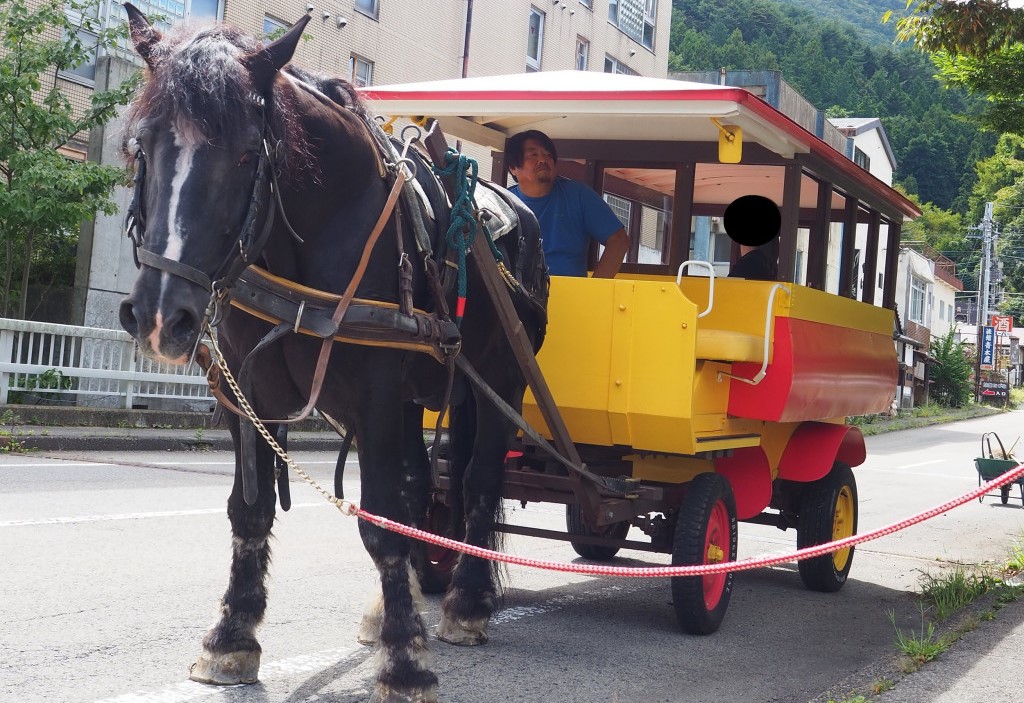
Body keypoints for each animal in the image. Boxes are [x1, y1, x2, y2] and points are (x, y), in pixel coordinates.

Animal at [116, 6, 548, 702]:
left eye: (247, 153)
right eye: (143, 146)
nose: (160, 316)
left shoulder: (374, 390)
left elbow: (381, 521)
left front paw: (405, 662)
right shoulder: (246, 392)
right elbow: (251, 509)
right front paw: (232, 638)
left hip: (502, 380)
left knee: (479, 479)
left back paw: (467, 604)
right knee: (420, 485)